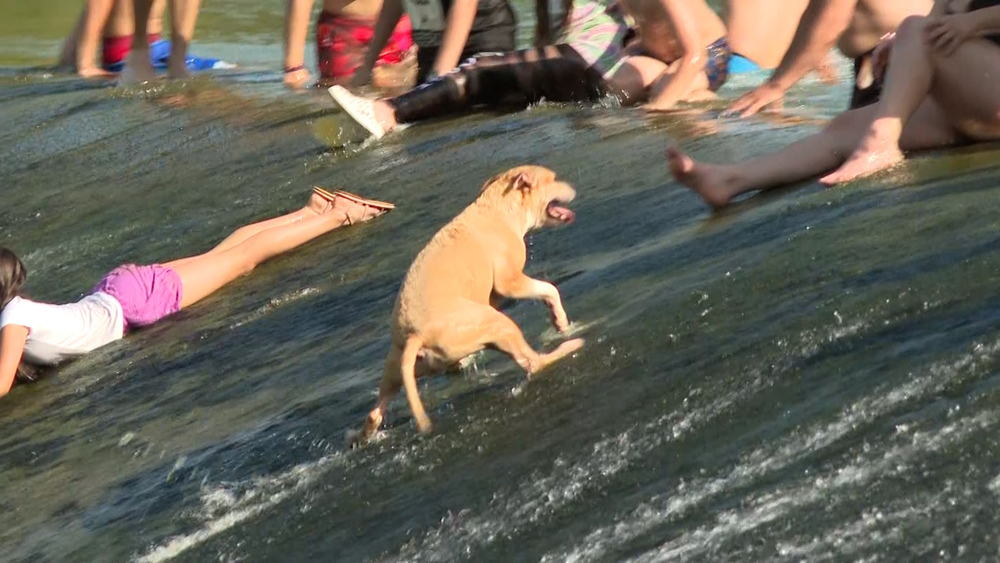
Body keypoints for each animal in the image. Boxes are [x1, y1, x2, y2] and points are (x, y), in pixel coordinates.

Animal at [352, 165, 584, 448]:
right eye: (553, 179)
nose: (573, 186)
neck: (499, 208)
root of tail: (415, 336)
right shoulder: (510, 281)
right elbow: (549, 290)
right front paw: (560, 320)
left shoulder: (492, 295)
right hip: (498, 324)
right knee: (532, 362)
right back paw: (567, 347)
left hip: (394, 369)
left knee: (374, 413)